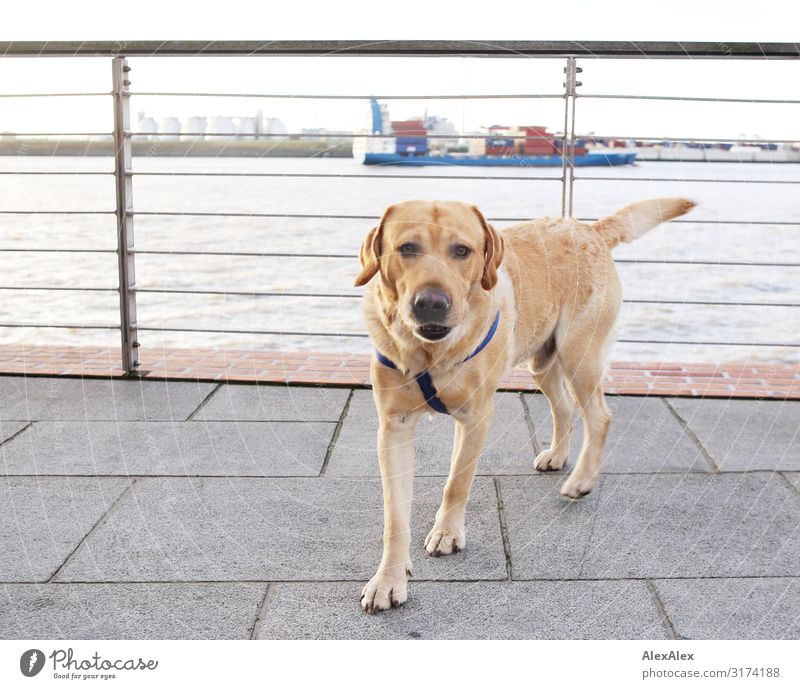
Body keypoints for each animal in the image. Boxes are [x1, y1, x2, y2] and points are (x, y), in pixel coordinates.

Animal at [354, 196, 692, 612]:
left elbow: (457, 483)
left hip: (580, 357)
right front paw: (388, 580)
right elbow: (395, 516)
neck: (431, 352)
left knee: (600, 417)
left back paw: (581, 480)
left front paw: (447, 532)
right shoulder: (394, 426)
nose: (431, 303)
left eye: (462, 251)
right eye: (406, 248)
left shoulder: (476, 418)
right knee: (563, 409)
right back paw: (557, 456)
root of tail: (588, 228)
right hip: (542, 362)